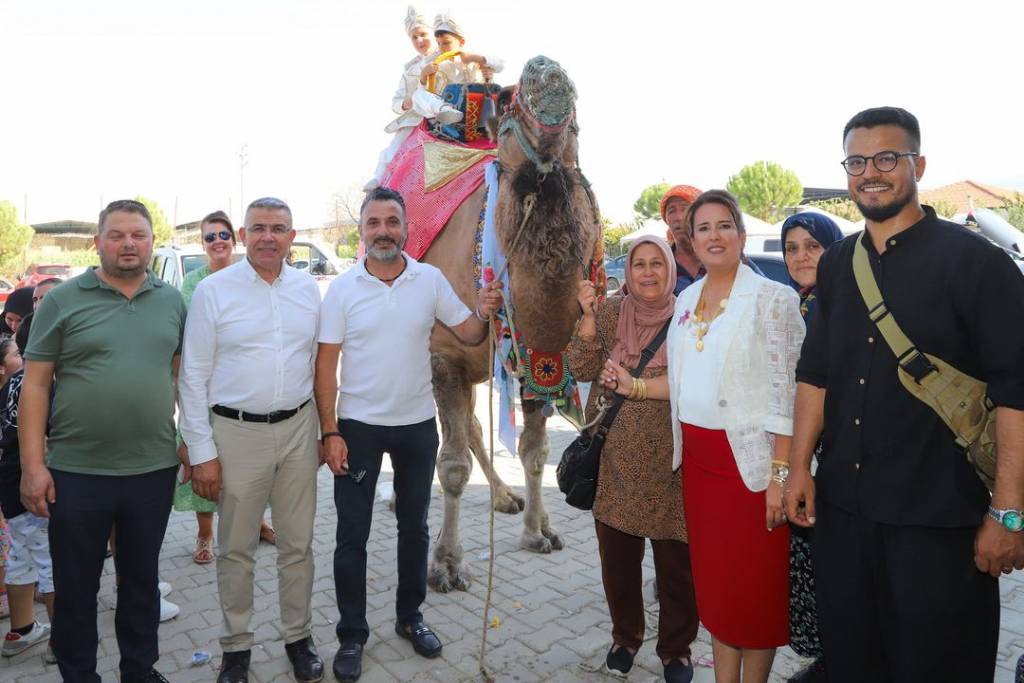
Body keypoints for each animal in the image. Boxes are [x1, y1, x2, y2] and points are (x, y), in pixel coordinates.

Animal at [421, 57, 602, 593]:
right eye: (507, 102)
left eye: (578, 118)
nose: (547, 70)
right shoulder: (443, 355)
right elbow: (451, 466)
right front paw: (445, 564)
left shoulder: (541, 358)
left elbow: (535, 451)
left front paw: (539, 530)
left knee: (477, 426)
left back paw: (505, 497)